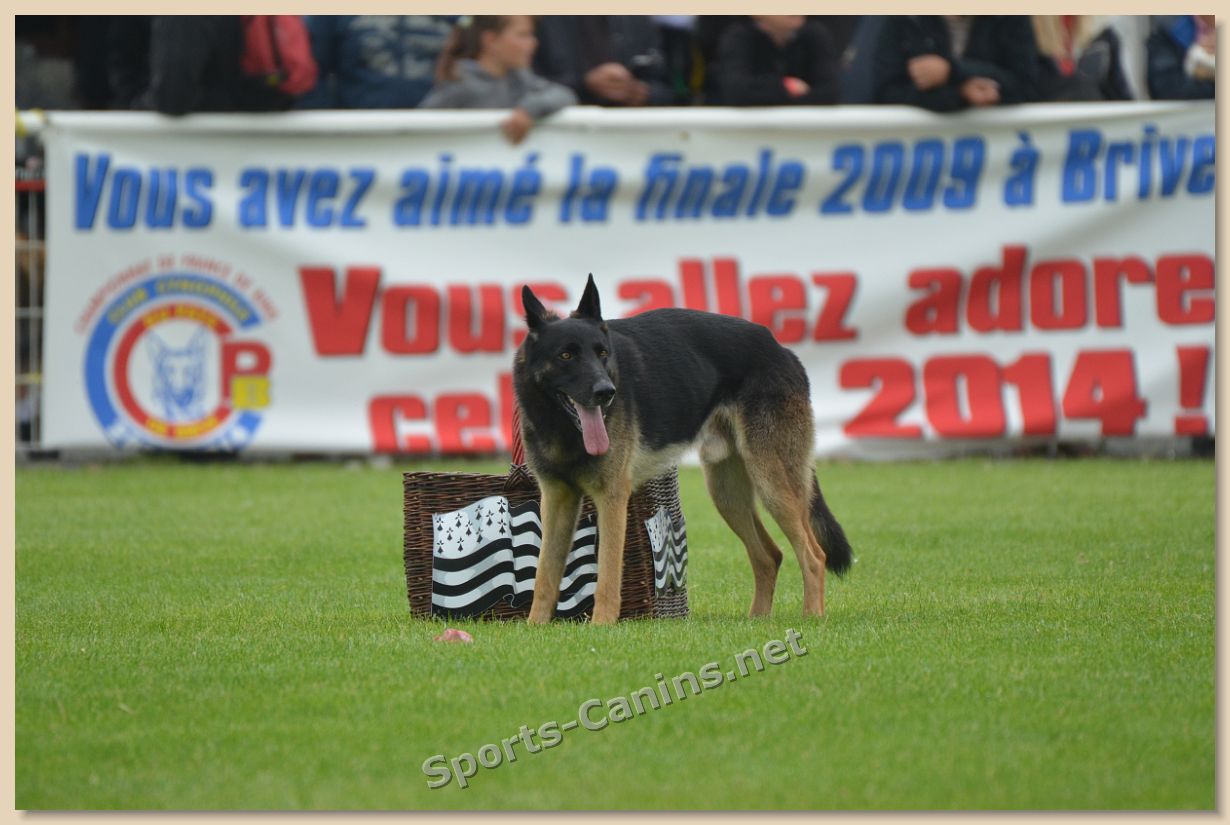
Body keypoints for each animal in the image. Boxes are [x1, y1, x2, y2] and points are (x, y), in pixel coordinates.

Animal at [514, 275, 852, 625]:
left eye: (603, 353)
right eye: (566, 356)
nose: (607, 392)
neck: (562, 425)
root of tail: (781, 348)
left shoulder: (612, 497)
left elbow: (607, 575)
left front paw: (601, 626)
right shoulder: (556, 498)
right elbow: (545, 574)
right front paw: (536, 627)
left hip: (772, 483)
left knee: (813, 555)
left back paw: (811, 617)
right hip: (726, 493)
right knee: (769, 555)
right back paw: (757, 620)